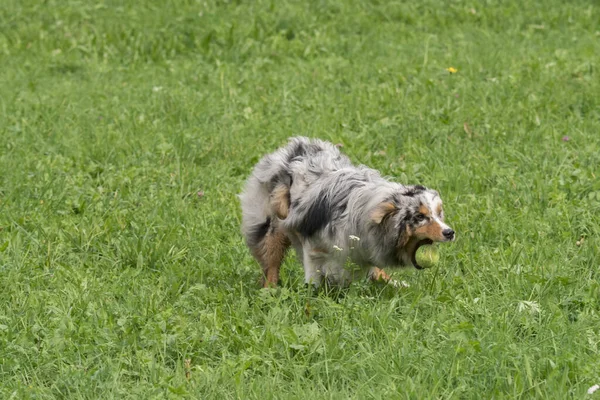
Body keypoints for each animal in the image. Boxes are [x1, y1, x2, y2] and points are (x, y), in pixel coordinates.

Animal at [239, 138, 454, 288]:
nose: (449, 232)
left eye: (439, 214)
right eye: (420, 217)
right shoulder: (313, 243)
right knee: (271, 264)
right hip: (270, 228)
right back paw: (270, 290)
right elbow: (314, 275)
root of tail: (292, 148)